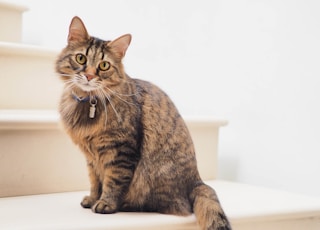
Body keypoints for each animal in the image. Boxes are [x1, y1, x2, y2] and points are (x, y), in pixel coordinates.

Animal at [54, 16, 230, 230]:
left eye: (104, 66)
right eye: (81, 59)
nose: (89, 76)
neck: (88, 102)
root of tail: (197, 181)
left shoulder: (121, 150)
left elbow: (113, 181)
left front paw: (105, 203)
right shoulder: (91, 157)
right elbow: (95, 181)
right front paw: (92, 198)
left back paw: (126, 205)